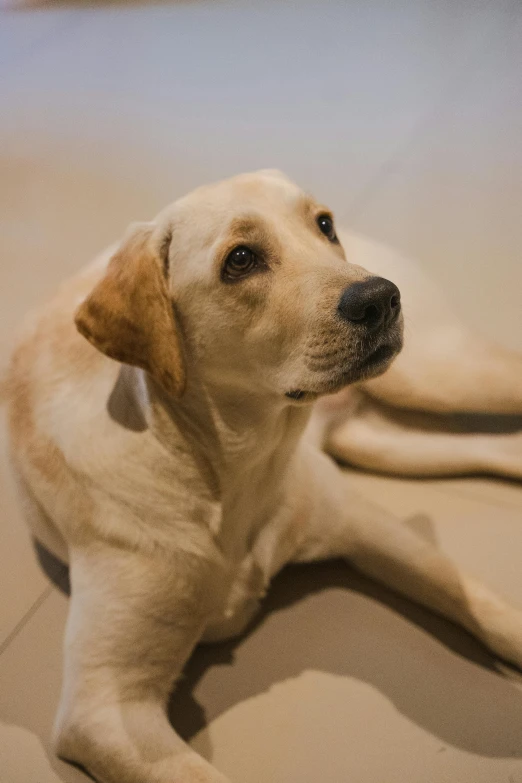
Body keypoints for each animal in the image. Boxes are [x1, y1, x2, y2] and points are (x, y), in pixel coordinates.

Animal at [4, 172, 520, 783]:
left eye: (323, 225)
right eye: (241, 259)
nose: (379, 297)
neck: (236, 470)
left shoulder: (365, 522)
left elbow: (484, 605)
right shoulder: (106, 711)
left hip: (438, 374)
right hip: (386, 440)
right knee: (496, 447)